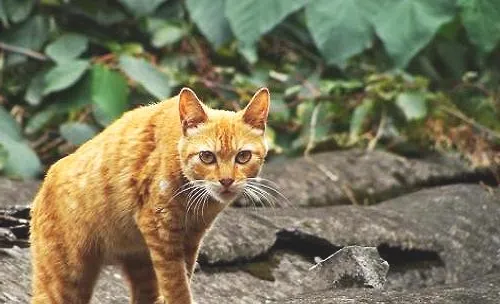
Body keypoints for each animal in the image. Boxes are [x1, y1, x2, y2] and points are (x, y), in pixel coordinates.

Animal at [29, 86, 272, 302]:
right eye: (207, 157)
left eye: (243, 156)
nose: (227, 181)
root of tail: (42, 188)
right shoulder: (161, 230)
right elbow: (177, 287)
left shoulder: (190, 239)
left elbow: (184, 277)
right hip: (66, 279)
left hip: (140, 265)